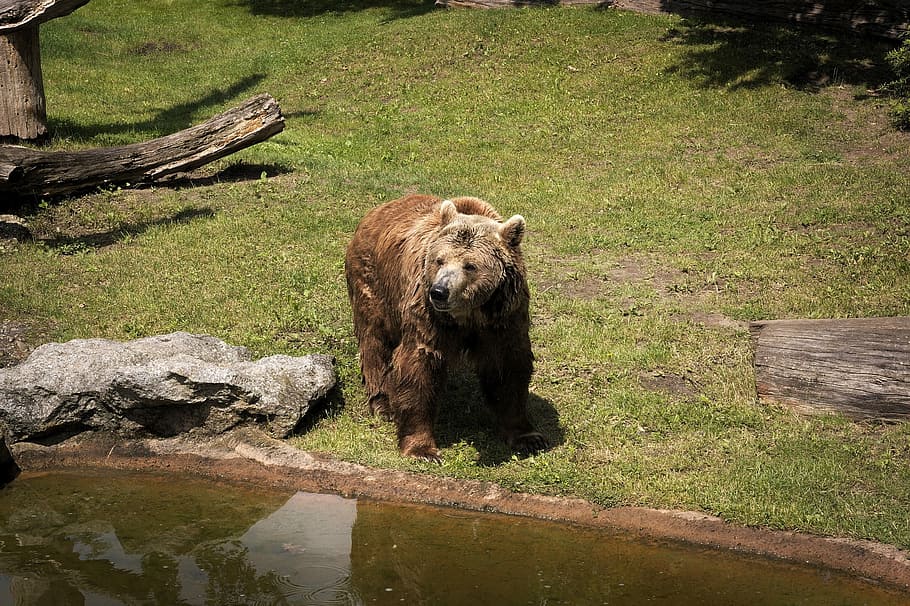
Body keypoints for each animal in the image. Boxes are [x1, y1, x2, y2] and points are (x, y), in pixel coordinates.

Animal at [344, 194, 549, 462]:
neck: (469, 313)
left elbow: (508, 370)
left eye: (470, 265)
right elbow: (418, 366)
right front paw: (422, 448)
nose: (439, 291)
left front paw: (528, 437)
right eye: (439, 260)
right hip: (374, 284)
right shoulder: (428, 315)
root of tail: (378, 210)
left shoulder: (504, 317)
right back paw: (383, 403)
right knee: (375, 340)